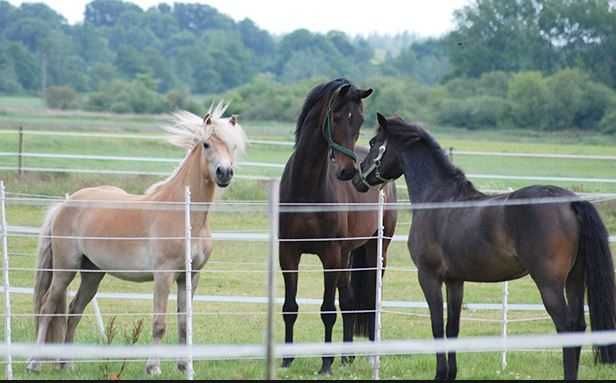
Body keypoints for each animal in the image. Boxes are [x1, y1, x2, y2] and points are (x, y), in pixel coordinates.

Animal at [27, 102, 247, 376]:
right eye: (206, 144)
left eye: (233, 146)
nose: (224, 172)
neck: (184, 213)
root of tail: (64, 205)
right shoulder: (163, 275)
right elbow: (159, 323)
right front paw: (153, 367)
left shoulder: (190, 277)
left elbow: (184, 323)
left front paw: (185, 367)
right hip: (64, 269)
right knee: (47, 307)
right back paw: (34, 363)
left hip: (92, 274)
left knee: (74, 310)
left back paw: (66, 364)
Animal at [280, 78, 400, 376]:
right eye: (335, 117)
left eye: (359, 120)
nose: (348, 172)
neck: (307, 188)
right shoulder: (288, 254)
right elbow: (290, 306)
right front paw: (286, 360)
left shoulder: (330, 256)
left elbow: (327, 310)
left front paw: (325, 364)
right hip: (348, 255)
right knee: (348, 301)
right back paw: (346, 356)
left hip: (376, 252)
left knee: (370, 302)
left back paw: (367, 357)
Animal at [352, 113, 616, 380]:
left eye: (374, 142)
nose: (357, 177)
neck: (437, 199)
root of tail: (570, 201)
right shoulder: (455, 280)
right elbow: (452, 328)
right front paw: (451, 374)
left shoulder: (428, 277)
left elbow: (437, 327)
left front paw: (440, 374)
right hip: (575, 279)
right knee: (578, 327)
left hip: (549, 283)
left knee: (566, 329)